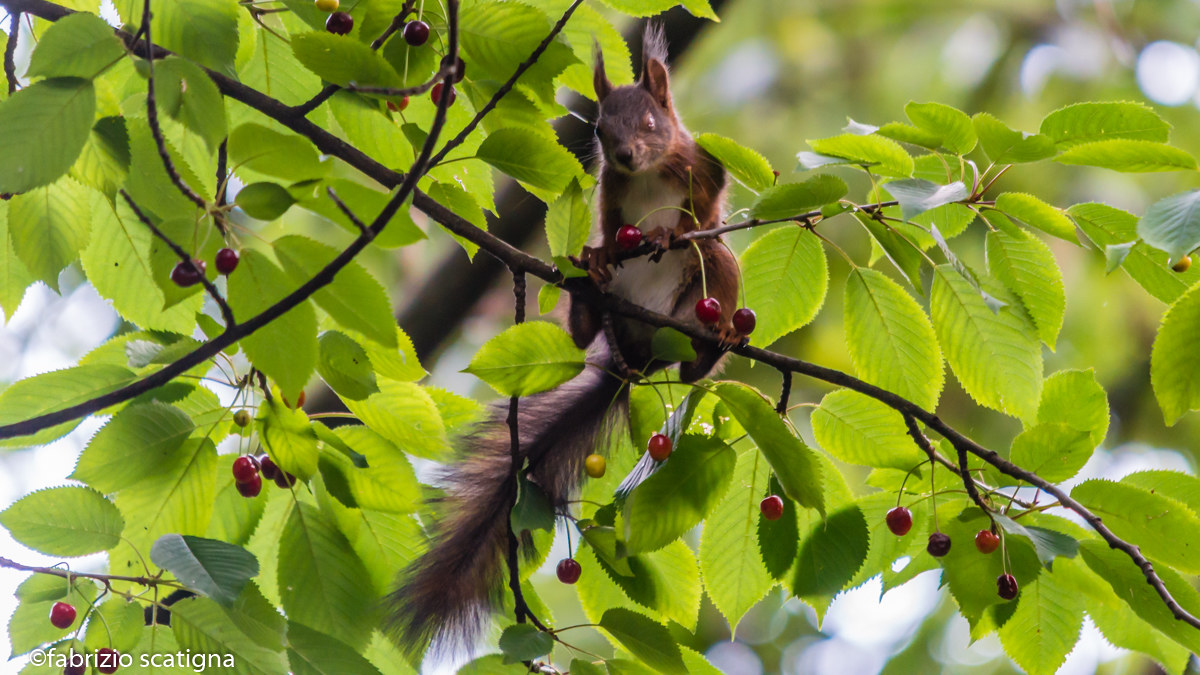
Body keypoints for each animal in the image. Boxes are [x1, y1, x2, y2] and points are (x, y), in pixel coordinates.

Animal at [386, 25, 741, 654]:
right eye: (599, 129)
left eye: (650, 121)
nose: (624, 154)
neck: (647, 172)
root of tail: (639, 358)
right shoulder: (611, 193)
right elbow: (610, 222)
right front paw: (603, 250)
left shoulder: (700, 168)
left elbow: (702, 211)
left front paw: (672, 231)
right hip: (613, 316)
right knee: (587, 327)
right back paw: (587, 286)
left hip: (707, 286)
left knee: (699, 340)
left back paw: (712, 344)